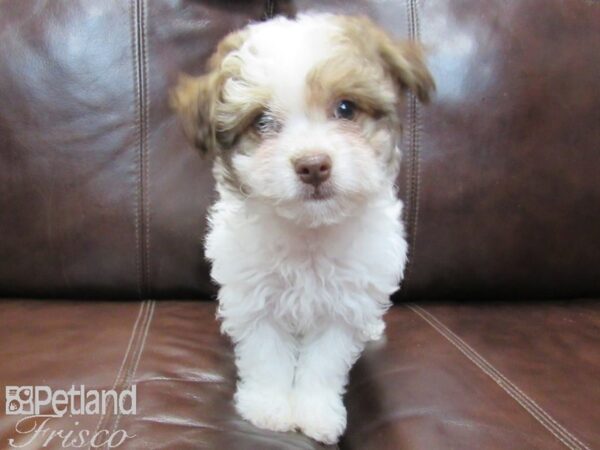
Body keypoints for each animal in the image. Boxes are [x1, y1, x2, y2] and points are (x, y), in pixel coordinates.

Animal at [171, 13, 434, 442]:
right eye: (262, 121)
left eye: (345, 108)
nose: (313, 165)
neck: (310, 231)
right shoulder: (255, 296)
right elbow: (266, 353)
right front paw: (268, 407)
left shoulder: (344, 305)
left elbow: (325, 361)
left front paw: (315, 412)